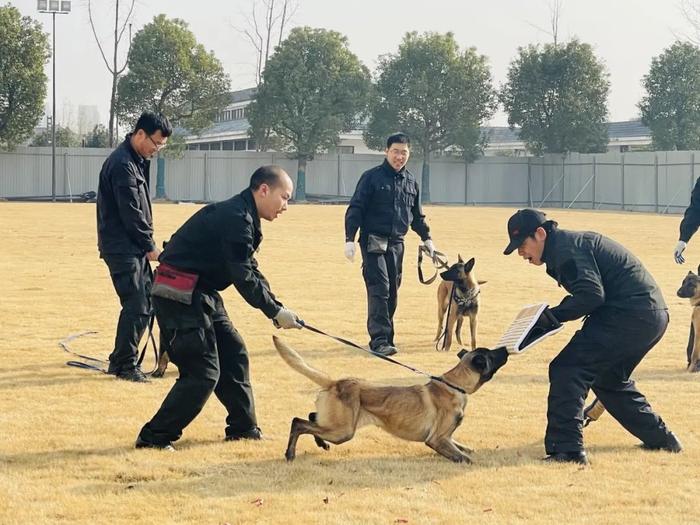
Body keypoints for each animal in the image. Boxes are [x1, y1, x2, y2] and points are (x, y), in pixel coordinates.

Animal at [274, 334, 508, 460]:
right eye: (491, 353)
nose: (505, 348)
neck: (455, 385)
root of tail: (336, 382)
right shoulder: (437, 439)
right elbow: (462, 457)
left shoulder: (446, 437)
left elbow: (462, 446)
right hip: (343, 431)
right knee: (298, 422)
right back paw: (290, 454)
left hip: (336, 424)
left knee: (311, 417)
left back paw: (320, 444)